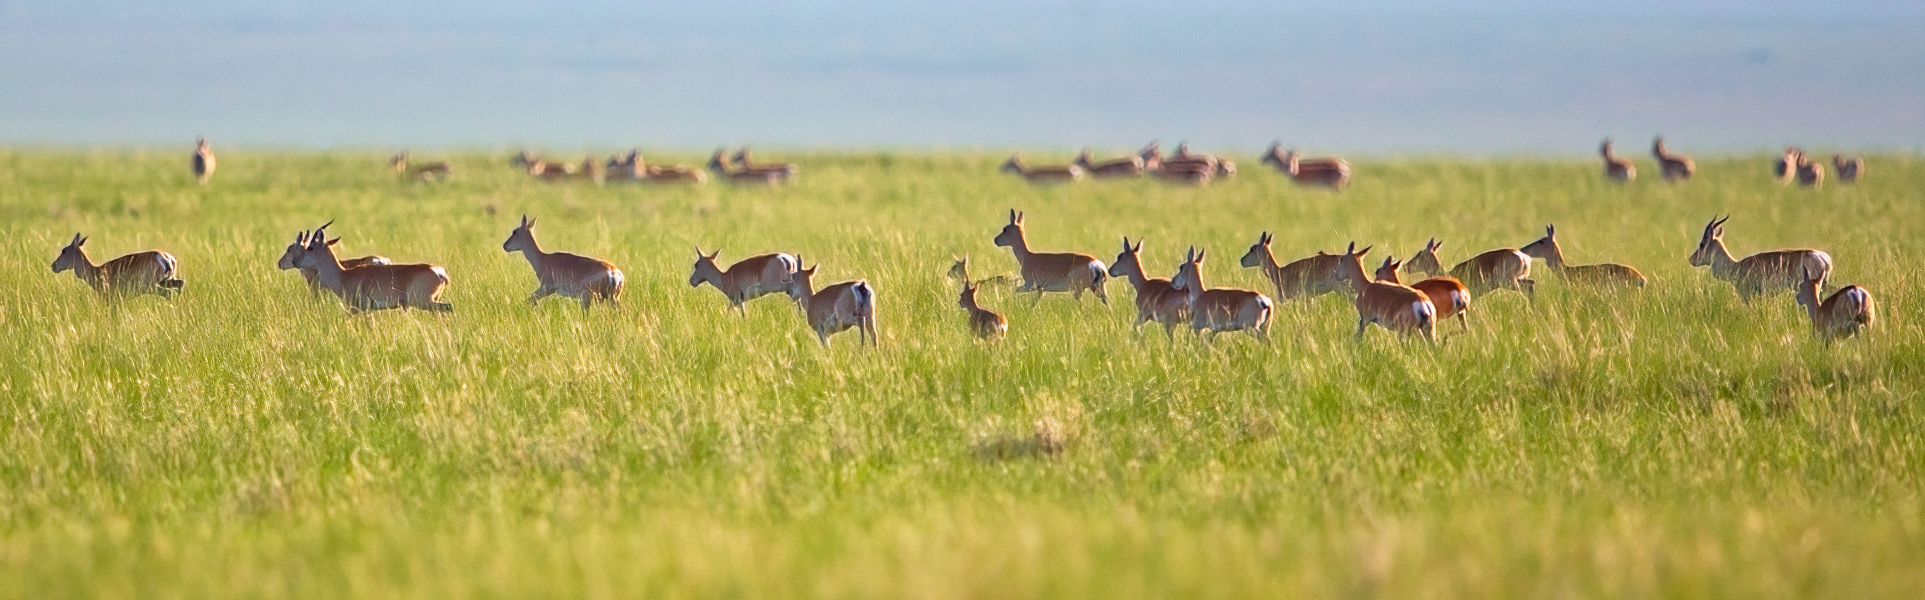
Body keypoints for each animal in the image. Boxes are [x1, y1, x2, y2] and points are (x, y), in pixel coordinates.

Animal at [51, 233, 185, 298]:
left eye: (64, 250)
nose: (53, 265)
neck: (96, 271)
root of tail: (166, 257)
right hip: (166, 280)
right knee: (180, 284)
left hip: (152, 286)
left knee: (169, 293)